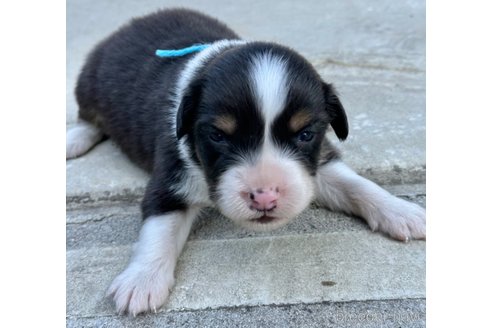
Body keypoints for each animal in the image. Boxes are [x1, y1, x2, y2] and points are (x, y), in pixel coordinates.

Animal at [67, 7, 424, 316]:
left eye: (305, 134)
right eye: (218, 136)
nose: (264, 198)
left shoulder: (317, 160)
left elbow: (355, 184)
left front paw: (402, 211)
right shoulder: (170, 175)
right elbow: (159, 228)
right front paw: (141, 281)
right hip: (87, 83)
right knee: (88, 118)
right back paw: (73, 140)